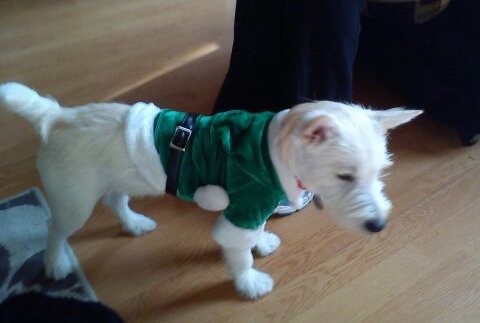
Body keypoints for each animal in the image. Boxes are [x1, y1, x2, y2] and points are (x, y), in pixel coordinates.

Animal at [0, 82, 420, 300]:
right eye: (345, 177)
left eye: (379, 173)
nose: (379, 226)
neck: (276, 150)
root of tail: (57, 116)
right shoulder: (243, 208)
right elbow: (239, 253)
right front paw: (250, 283)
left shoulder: (254, 206)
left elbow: (256, 232)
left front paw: (262, 243)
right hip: (74, 200)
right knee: (55, 227)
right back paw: (56, 262)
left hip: (114, 181)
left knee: (116, 200)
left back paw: (134, 224)